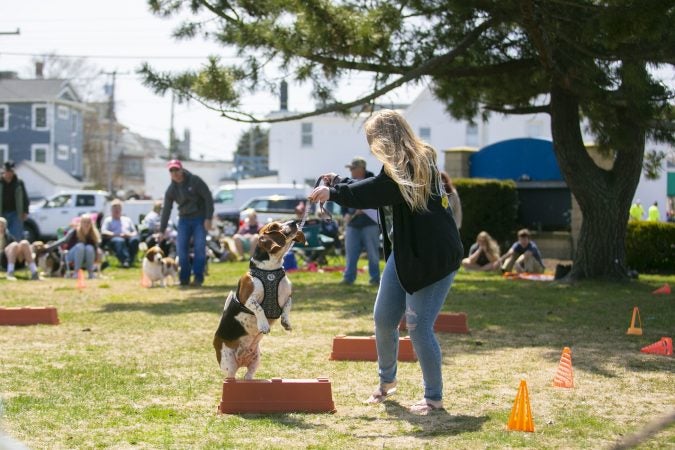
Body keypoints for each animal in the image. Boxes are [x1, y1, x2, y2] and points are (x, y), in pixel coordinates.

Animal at [213, 220, 304, 378]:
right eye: (274, 227)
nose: (294, 222)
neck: (270, 269)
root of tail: (241, 361)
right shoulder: (247, 298)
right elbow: (259, 307)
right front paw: (264, 325)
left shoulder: (287, 297)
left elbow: (286, 308)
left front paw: (286, 322)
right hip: (228, 363)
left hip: (256, 359)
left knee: (247, 376)